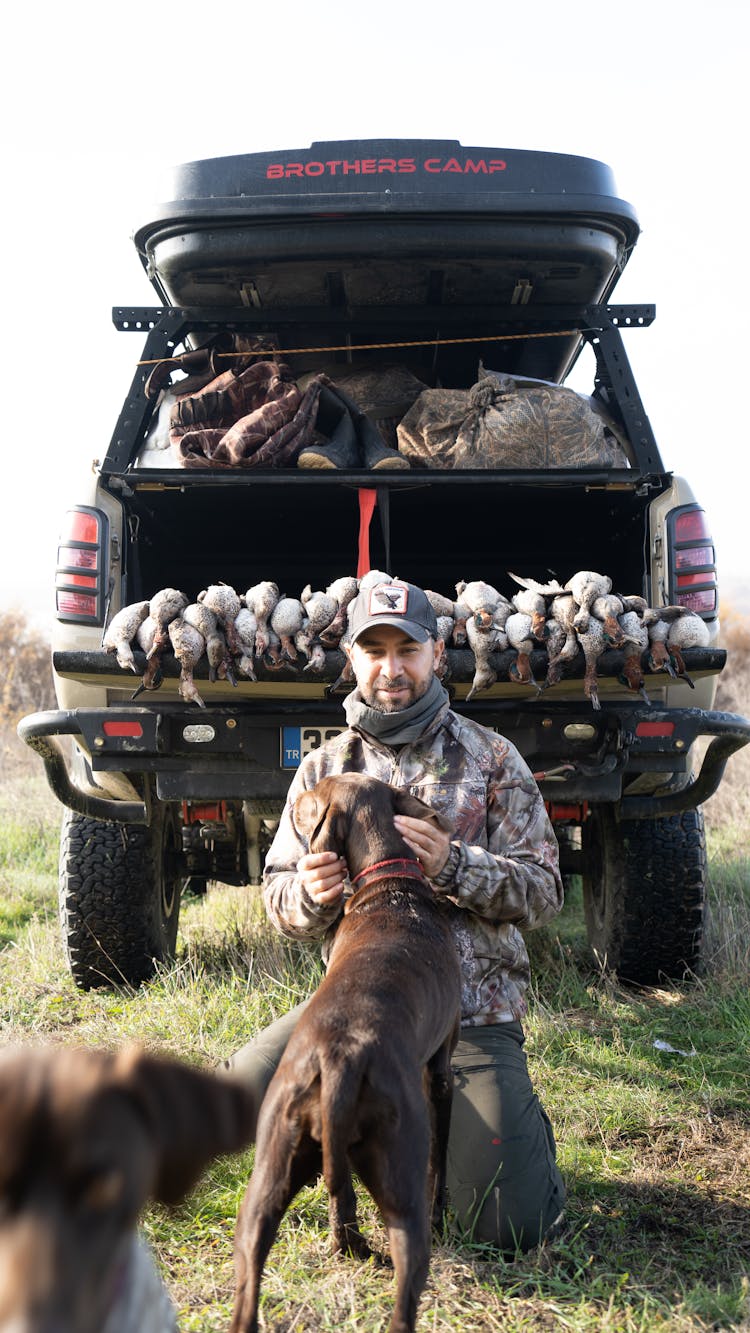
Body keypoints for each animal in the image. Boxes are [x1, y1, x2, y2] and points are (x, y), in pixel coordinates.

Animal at [229, 773, 463, 1333]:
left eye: (314, 801)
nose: (292, 799)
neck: (391, 886)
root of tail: (337, 1061)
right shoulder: (440, 1071)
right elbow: (440, 1162)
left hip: (266, 1181)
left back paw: (349, 1248)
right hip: (399, 1173)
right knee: (405, 1289)